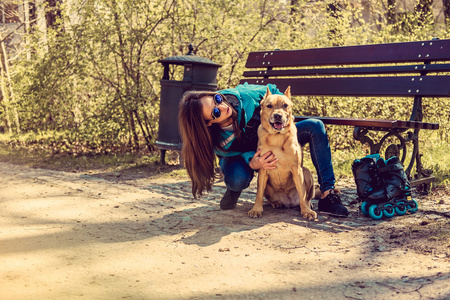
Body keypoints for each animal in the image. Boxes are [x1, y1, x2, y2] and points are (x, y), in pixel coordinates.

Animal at [248, 86, 318, 220]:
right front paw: (256, 209)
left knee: (306, 197)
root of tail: (288, 202)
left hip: (306, 173)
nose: (277, 115)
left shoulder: (297, 169)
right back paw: (276, 203)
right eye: (269, 106)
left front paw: (306, 211)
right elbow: (258, 194)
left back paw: (307, 205)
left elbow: (302, 193)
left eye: (285, 105)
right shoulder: (263, 169)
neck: (277, 137)